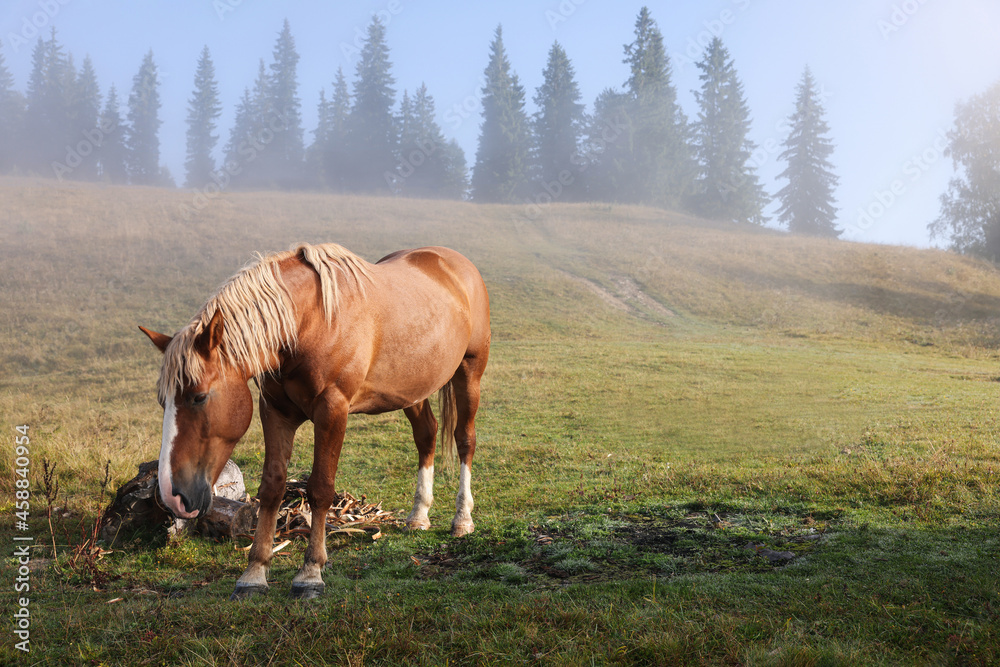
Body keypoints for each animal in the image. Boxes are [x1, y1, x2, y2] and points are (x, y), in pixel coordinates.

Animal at [139, 241, 490, 600]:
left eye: (199, 397)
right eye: (163, 401)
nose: (172, 495)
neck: (308, 323)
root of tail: (451, 259)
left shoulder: (332, 410)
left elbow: (320, 488)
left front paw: (310, 573)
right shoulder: (275, 411)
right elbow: (272, 487)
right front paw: (254, 573)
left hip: (469, 373)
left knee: (465, 440)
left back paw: (462, 519)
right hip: (412, 389)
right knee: (426, 435)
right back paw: (419, 515)